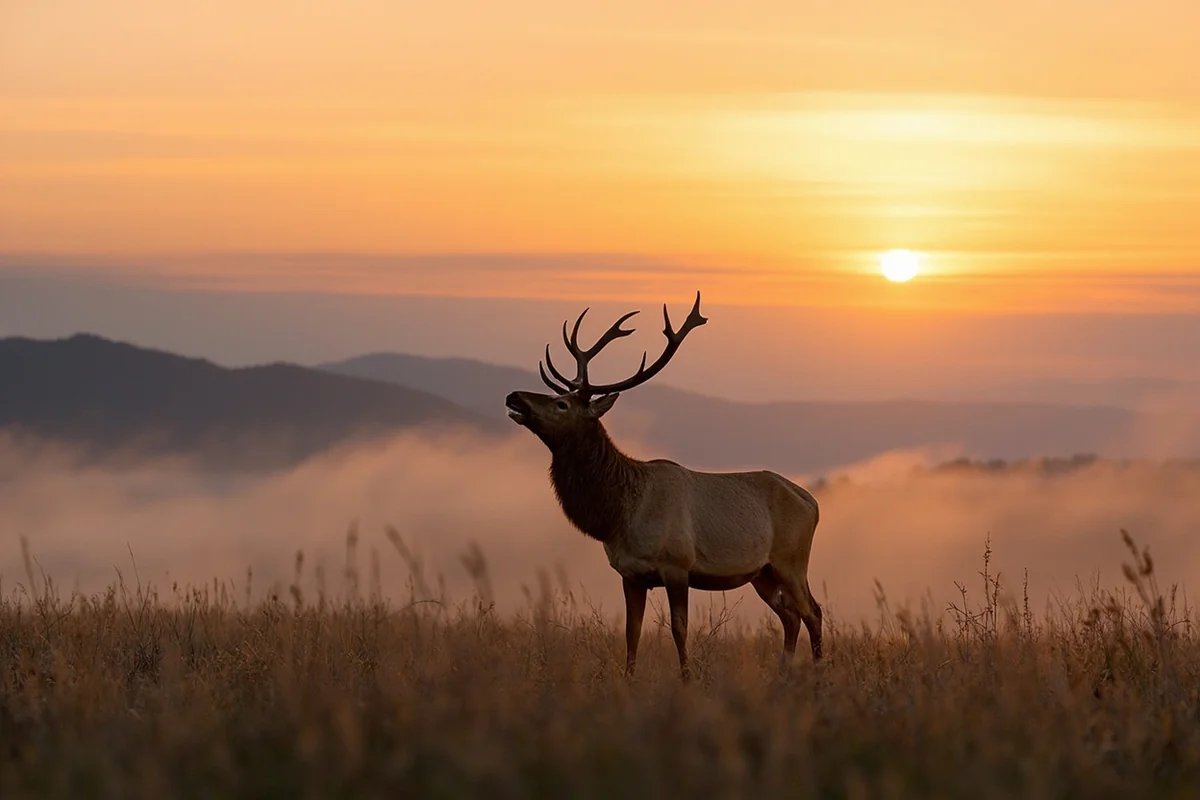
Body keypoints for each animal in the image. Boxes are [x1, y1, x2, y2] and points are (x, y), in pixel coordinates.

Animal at [504, 291, 822, 681]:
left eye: (561, 403)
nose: (514, 396)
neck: (620, 516)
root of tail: (812, 502)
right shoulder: (630, 573)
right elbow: (632, 632)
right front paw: (628, 682)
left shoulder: (677, 564)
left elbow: (679, 629)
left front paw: (687, 681)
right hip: (762, 572)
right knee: (791, 616)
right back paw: (783, 675)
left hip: (792, 560)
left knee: (813, 612)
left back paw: (820, 673)